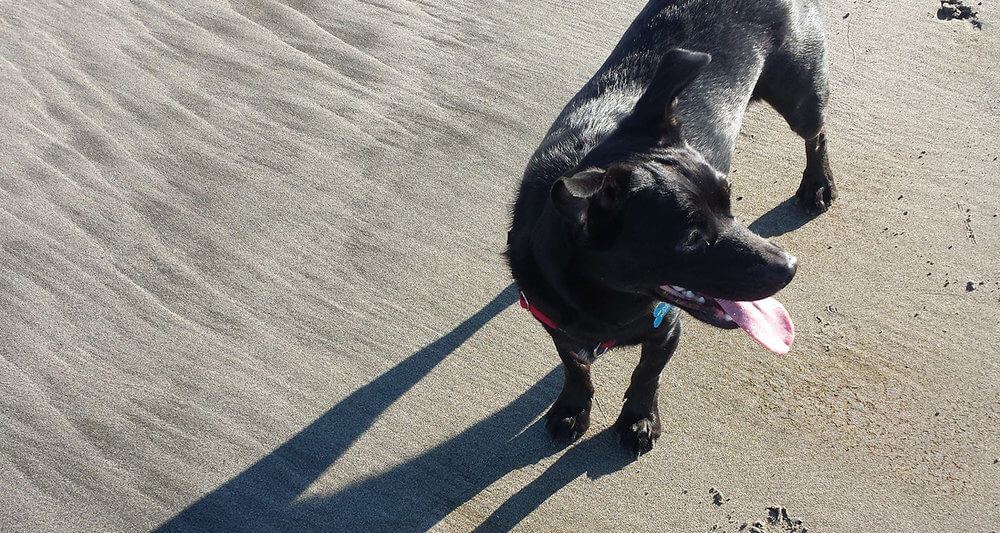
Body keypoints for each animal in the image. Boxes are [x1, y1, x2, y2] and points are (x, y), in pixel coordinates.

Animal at [508, 0, 836, 454]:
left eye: (729, 202)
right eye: (691, 240)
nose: (790, 267)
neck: (608, 301)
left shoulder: (666, 329)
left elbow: (646, 374)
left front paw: (638, 418)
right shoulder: (555, 323)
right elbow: (575, 366)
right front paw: (573, 406)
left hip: (801, 97)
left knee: (816, 133)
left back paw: (818, 182)